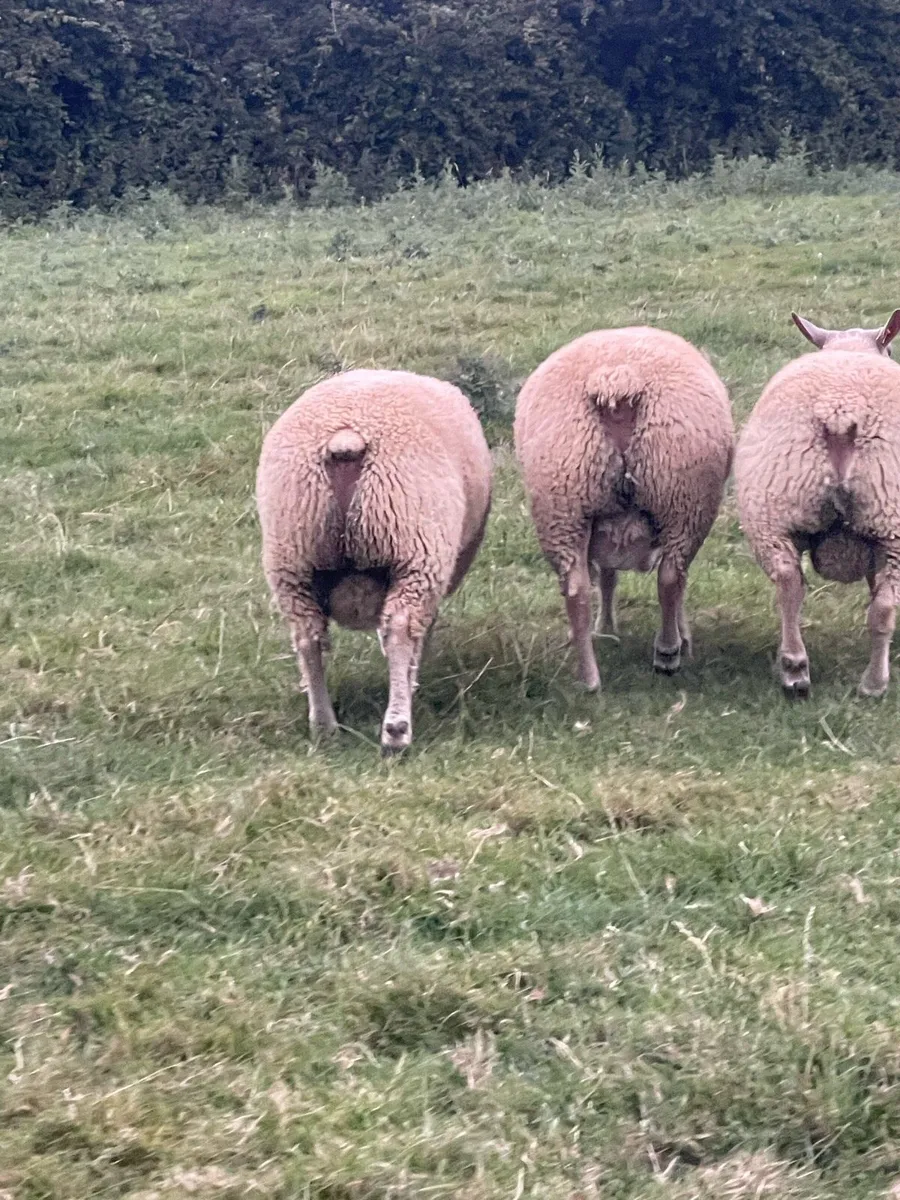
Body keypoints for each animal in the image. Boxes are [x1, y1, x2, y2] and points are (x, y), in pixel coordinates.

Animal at [256, 369, 492, 753]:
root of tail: (346, 439)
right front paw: (411, 682)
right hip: (413, 550)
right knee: (399, 629)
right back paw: (396, 729)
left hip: (292, 558)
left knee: (308, 638)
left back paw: (323, 724)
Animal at [513, 327, 734, 689]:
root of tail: (617, 381)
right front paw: (683, 637)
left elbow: (607, 577)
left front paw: (603, 628)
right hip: (683, 502)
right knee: (671, 578)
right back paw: (667, 653)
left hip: (563, 505)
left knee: (576, 590)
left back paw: (589, 676)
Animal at [735, 308, 900, 698]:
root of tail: (840, 413)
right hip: (890, 517)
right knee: (883, 607)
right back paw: (871, 683)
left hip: (775, 507)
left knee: (789, 584)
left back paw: (797, 670)